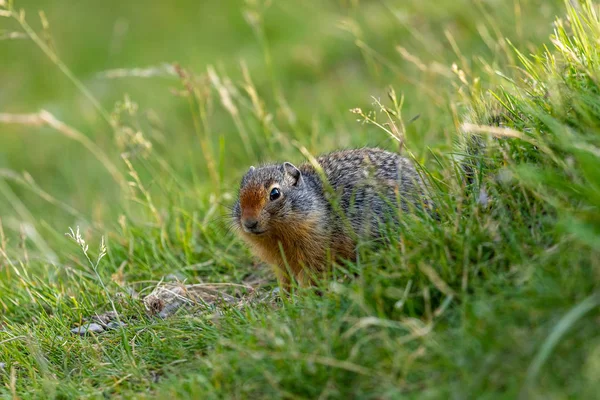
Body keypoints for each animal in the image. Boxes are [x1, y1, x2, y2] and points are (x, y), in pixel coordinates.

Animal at [231, 148, 432, 290]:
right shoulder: (281, 264)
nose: (249, 223)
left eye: (275, 193)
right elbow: (285, 282)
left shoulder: (314, 253)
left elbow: (309, 277)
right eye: (240, 194)